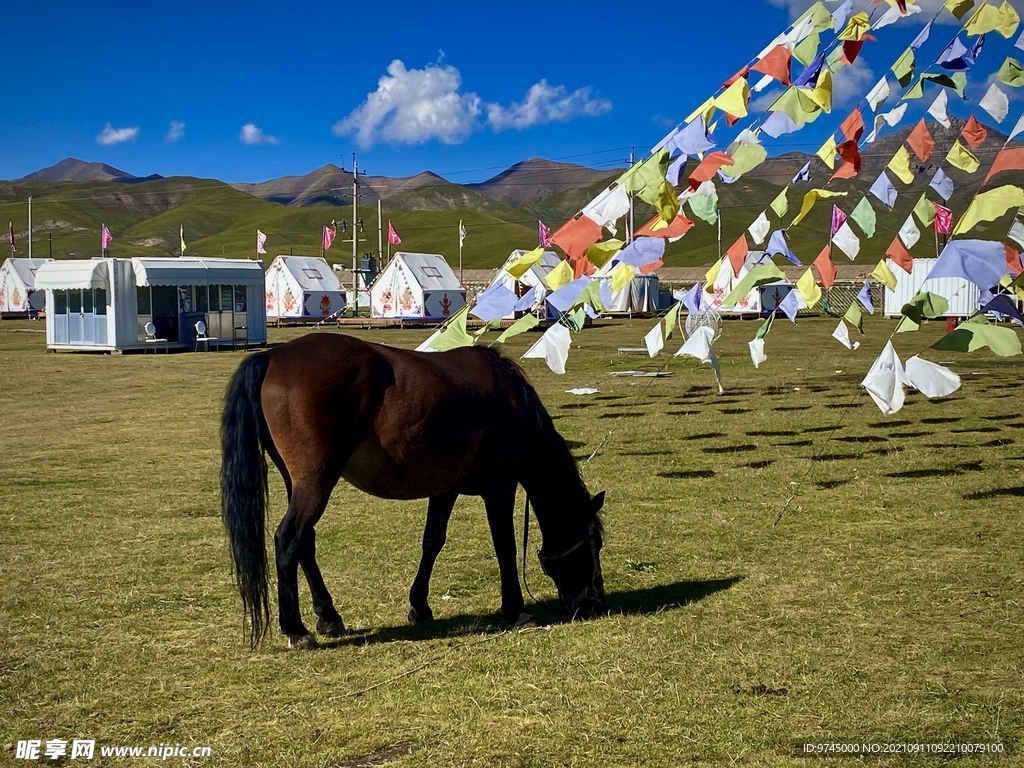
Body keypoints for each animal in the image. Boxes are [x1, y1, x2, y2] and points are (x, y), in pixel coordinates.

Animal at [222, 335, 606, 651]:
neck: (509, 402)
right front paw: (515, 610)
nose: (594, 604)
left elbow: (432, 541)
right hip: (316, 481)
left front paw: (419, 606)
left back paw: (328, 615)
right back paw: (296, 629)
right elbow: (505, 545)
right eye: (594, 542)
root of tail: (272, 356)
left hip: (299, 483)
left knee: (305, 542)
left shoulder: (446, 489)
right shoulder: (499, 487)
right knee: (289, 539)